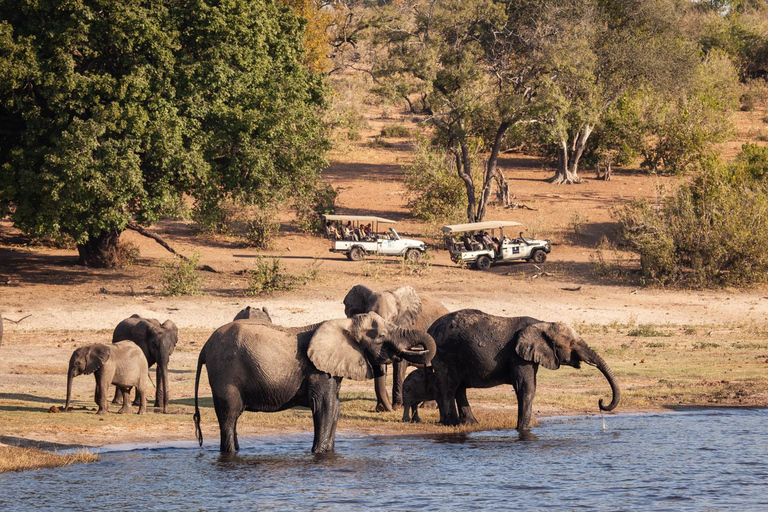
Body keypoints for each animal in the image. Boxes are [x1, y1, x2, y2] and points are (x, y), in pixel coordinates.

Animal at [195, 310, 436, 454]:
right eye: (379, 336)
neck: (344, 323)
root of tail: (204, 347)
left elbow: (335, 407)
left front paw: (327, 453)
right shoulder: (318, 370)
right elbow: (325, 407)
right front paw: (318, 454)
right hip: (225, 374)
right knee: (229, 415)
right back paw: (230, 453)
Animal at [344, 284, 450, 412]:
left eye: (393, 317)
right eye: (368, 315)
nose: (385, 408)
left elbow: (400, 364)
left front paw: (397, 407)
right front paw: (382, 408)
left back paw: (428, 406)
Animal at [428, 310, 620, 430]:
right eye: (571, 344)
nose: (601, 401)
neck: (542, 324)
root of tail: (430, 328)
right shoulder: (518, 355)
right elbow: (526, 387)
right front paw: (522, 429)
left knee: (459, 388)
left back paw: (471, 424)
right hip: (446, 352)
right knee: (449, 386)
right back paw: (453, 423)